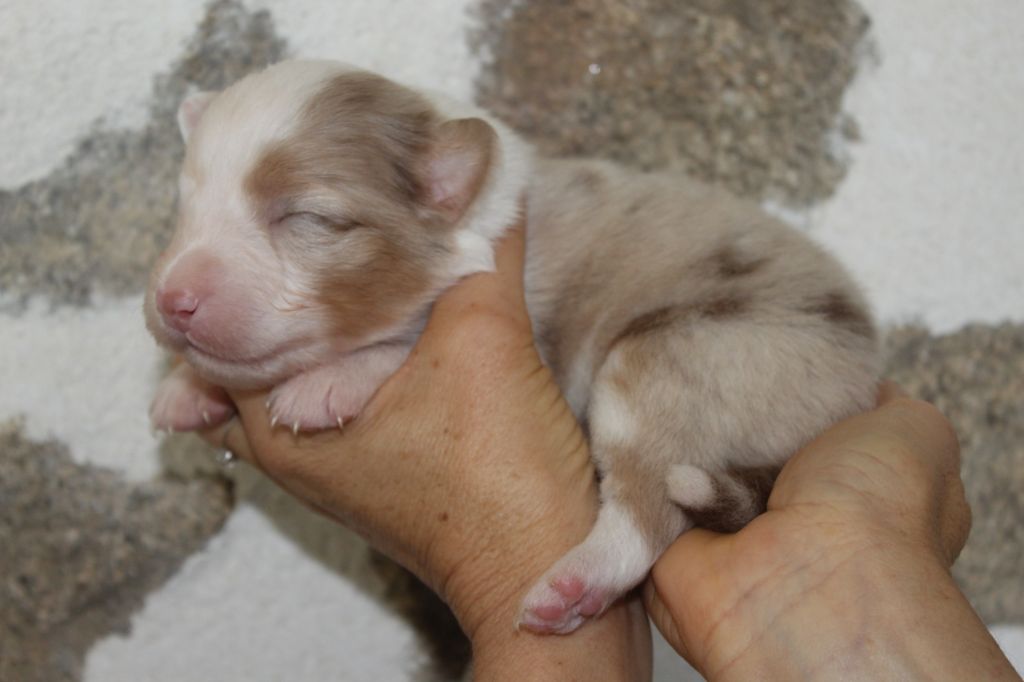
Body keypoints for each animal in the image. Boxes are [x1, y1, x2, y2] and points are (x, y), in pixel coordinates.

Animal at [144, 58, 880, 630]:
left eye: (307, 218)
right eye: (183, 207)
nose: (172, 300)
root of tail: (862, 384)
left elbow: (395, 344)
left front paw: (328, 382)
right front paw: (188, 389)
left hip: (675, 362)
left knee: (648, 512)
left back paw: (577, 584)